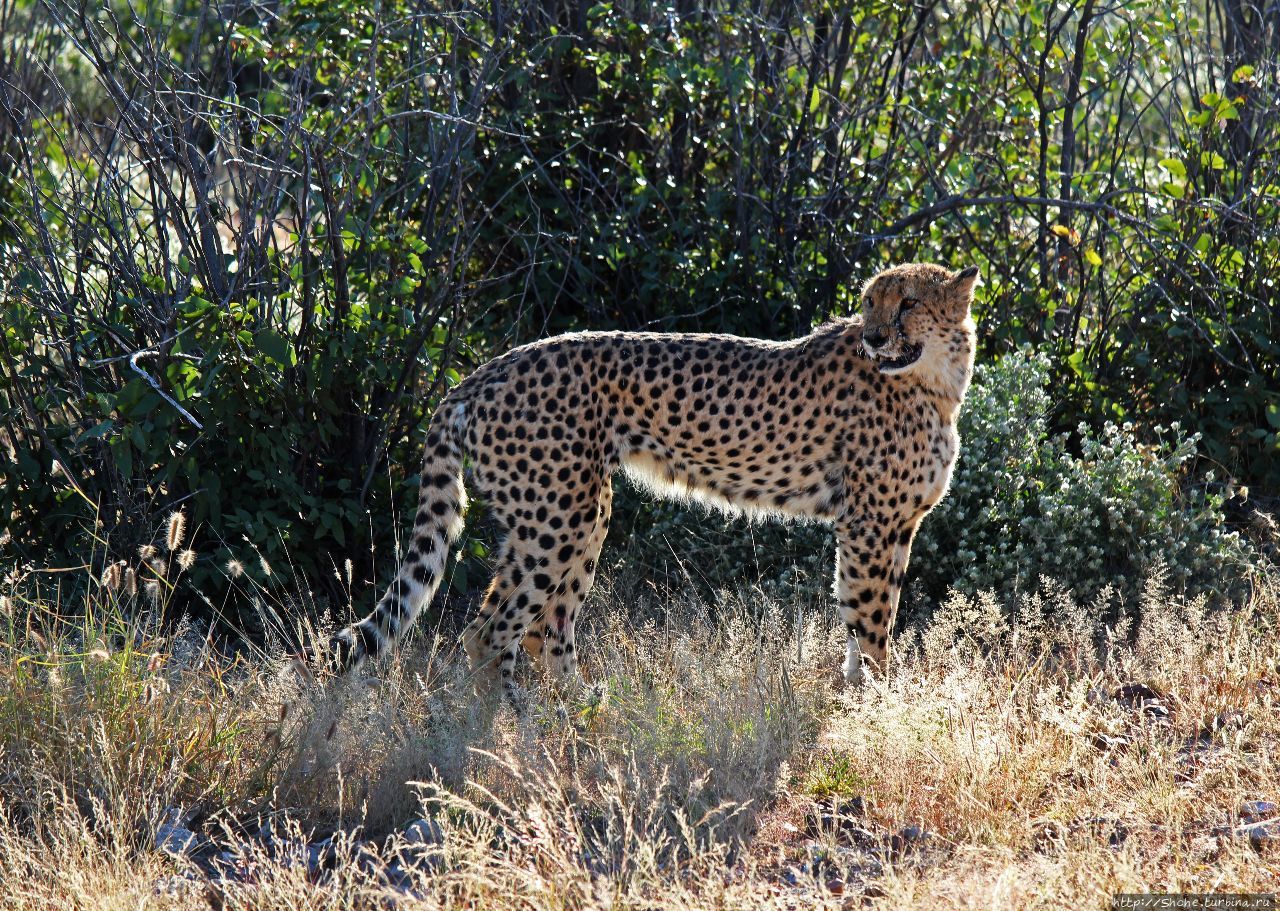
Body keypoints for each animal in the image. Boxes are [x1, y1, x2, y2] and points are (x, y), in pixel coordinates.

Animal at [332, 263, 977, 690]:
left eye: (908, 303)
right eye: (869, 303)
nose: (872, 336)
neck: (936, 380)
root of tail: (483, 371)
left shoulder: (891, 527)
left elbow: (863, 620)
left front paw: (858, 700)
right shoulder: (870, 525)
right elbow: (870, 622)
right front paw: (880, 708)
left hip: (580, 513)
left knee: (540, 627)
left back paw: (575, 713)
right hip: (557, 518)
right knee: (491, 633)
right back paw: (517, 734)